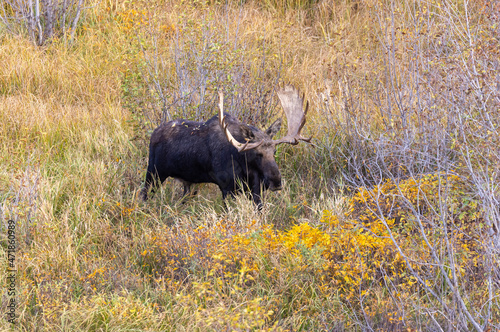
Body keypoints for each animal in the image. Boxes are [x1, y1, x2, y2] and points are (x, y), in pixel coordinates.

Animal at [141, 84, 310, 206]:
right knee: (143, 194)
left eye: (274, 151)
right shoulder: (227, 187)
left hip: (188, 184)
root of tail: (153, 133)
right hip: (154, 172)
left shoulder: (254, 190)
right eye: (258, 153)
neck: (245, 166)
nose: (276, 182)